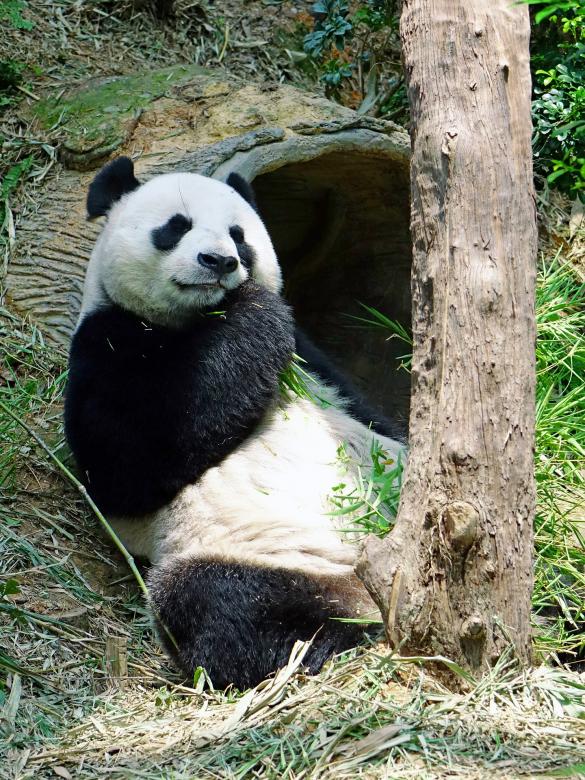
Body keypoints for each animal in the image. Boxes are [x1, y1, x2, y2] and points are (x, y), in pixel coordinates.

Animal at [64, 156, 406, 690]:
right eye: (176, 226)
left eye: (238, 235)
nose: (220, 262)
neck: (196, 320)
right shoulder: (105, 346)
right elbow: (128, 465)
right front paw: (252, 311)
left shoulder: (315, 363)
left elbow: (368, 413)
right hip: (249, 547)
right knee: (229, 604)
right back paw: (334, 637)